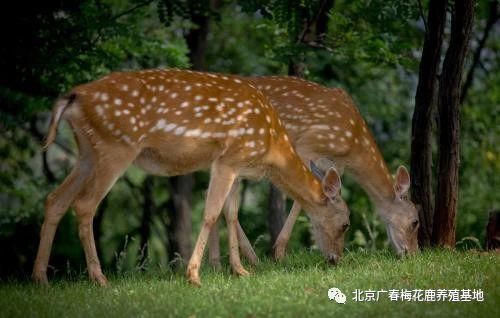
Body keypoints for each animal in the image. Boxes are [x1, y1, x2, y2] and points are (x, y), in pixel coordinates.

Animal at [33, 68, 350, 286]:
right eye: (346, 224)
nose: (336, 259)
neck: (271, 146)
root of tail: (74, 97)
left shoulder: (235, 164)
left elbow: (231, 215)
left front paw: (240, 270)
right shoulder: (228, 159)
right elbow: (211, 214)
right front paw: (194, 274)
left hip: (87, 153)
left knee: (55, 199)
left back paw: (40, 278)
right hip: (116, 146)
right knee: (84, 205)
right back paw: (99, 278)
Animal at [209, 75, 420, 264]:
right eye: (415, 222)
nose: (413, 253)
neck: (353, 144)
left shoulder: (335, 166)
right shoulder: (306, 146)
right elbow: (302, 199)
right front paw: (279, 252)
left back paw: (219, 263)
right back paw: (245, 259)